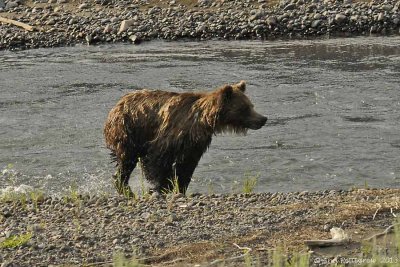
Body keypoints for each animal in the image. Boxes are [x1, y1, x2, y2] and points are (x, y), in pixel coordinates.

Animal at [103, 80, 268, 196]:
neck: (202, 121)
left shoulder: (194, 144)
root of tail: (116, 106)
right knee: (127, 160)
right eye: (244, 108)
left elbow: (186, 167)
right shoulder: (170, 135)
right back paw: (123, 185)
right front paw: (161, 186)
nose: (263, 119)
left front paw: (179, 187)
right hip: (128, 129)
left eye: (251, 105)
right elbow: (158, 159)